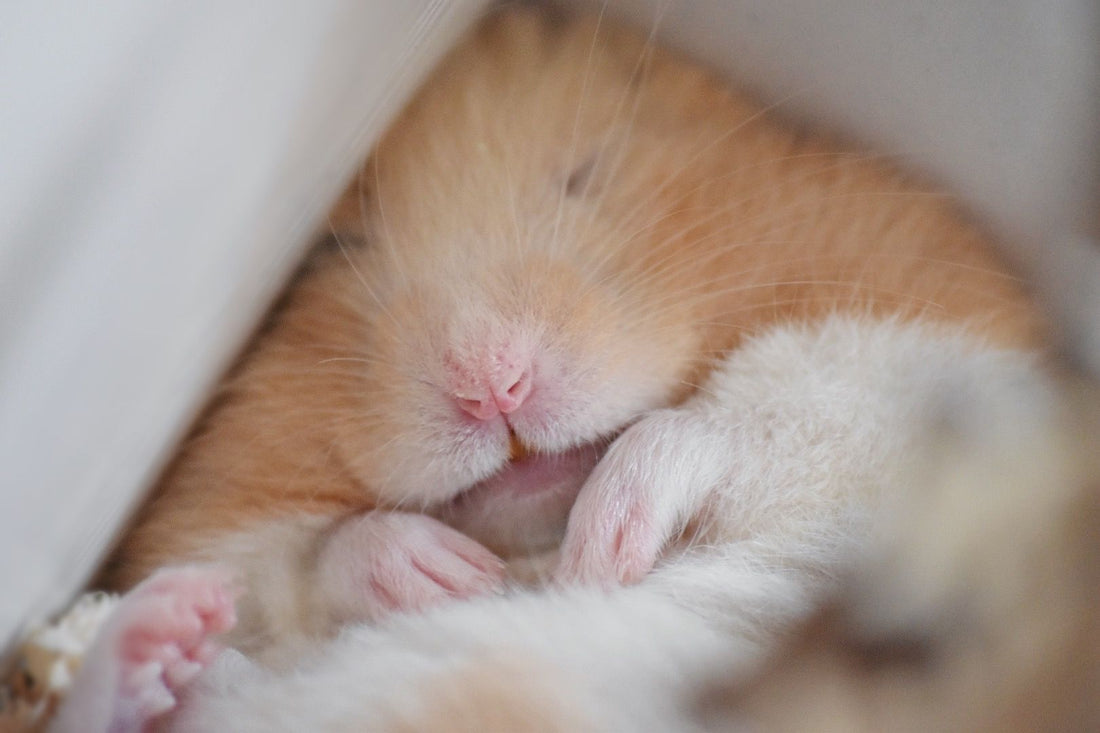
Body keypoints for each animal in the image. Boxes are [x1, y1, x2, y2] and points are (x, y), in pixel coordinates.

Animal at [100, 4, 1043, 658]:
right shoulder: (201, 544)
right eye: (336, 249)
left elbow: (731, 422)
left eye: (589, 173)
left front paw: (600, 551)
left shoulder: (964, 365)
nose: (493, 385)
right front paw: (454, 577)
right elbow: (265, 561)